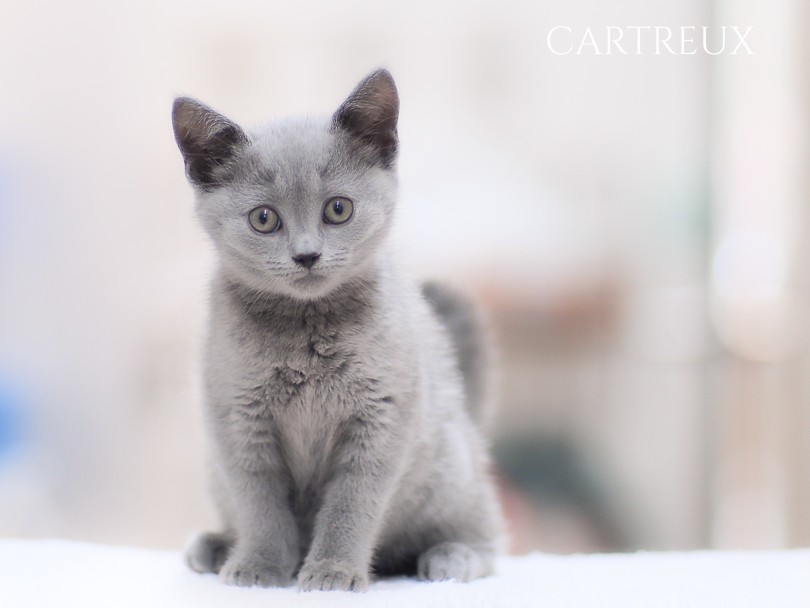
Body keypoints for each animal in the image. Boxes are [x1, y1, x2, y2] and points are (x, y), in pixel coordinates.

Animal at [170, 69, 498, 592]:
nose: (307, 255)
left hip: (449, 470)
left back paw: (453, 557)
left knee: (486, 531)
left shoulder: (382, 419)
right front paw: (260, 566)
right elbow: (259, 504)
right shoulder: (239, 421)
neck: (307, 327)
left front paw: (332, 572)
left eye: (338, 210)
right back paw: (216, 546)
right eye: (264, 219)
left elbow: (351, 506)